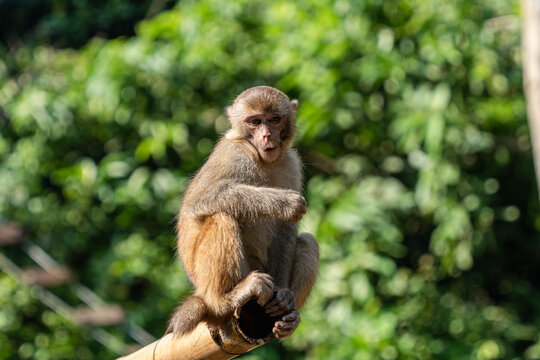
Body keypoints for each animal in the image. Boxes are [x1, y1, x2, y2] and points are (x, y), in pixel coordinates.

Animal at [167, 86, 318, 338]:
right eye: (255, 122)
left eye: (274, 119)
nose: (266, 136)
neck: (262, 160)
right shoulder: (233, 154)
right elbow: (201, 199)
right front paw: (284, 202)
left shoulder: (291, 163)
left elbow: (286, 230)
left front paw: (284, 295)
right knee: (221, 217)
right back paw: (223, 300)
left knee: (308, 240)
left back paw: (290, 316)